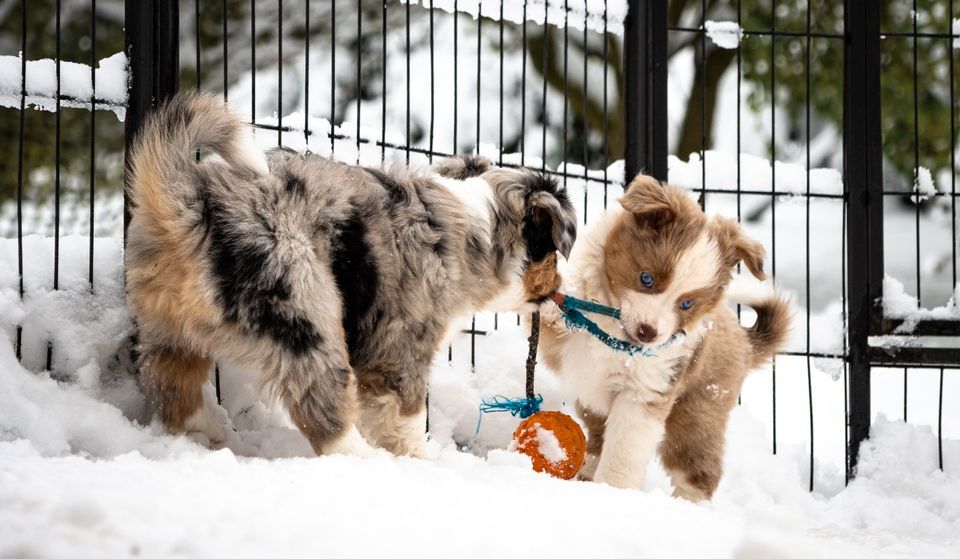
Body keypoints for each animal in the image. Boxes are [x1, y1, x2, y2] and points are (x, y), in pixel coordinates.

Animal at [124, 92, 572, 460]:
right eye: (553, 250)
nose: (559, 290)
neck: (480, 227)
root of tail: (192, 206)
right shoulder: (400, 347)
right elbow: (407, 418)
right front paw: (420, 464)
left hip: (166, 326)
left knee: (170, 388)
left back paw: (209, 432)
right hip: (305, 308)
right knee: (321, 410)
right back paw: (364, 461)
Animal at [540, 173, 788, 500]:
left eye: (687, 304)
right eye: (647, 278)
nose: (648, 333)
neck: (616, 333)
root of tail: (745, 343)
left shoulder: (646, 391)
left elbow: (624, 451)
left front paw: (613, 492)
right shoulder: (561, 340)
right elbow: (568, 301)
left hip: (696, 414)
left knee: (698, 471)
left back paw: (685, 505)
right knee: (597, 439)